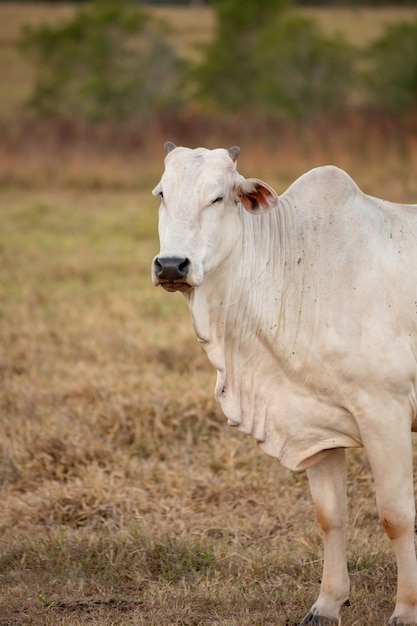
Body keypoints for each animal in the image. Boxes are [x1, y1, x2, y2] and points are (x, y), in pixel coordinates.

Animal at [151, 143, 416, 624]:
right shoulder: (314, 422)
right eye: (162, 193)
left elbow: (396, 515)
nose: (171, 265)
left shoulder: (385, 411)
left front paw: (406, 610)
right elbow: (330, 515)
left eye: (219, 197)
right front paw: (327, 604)